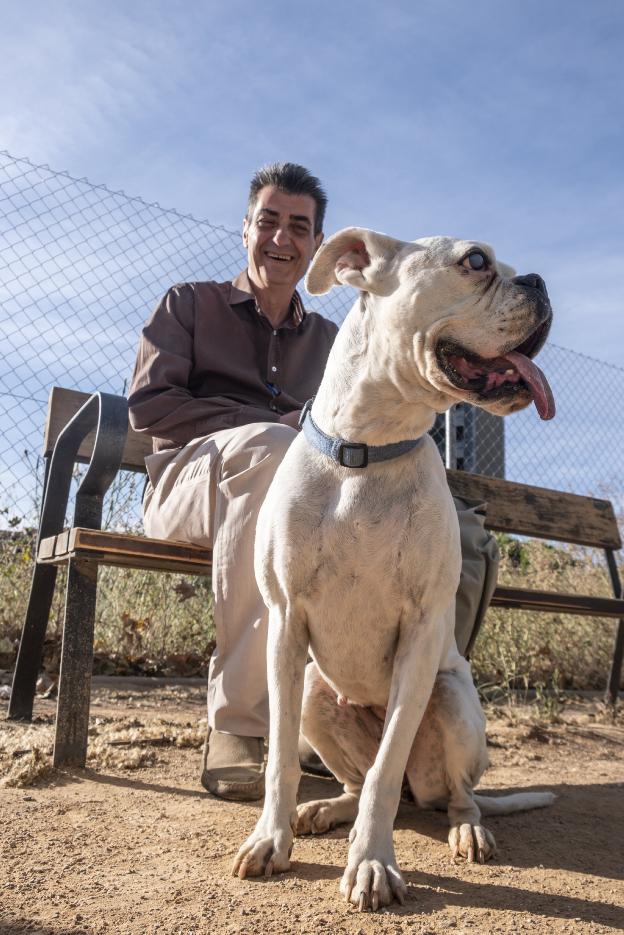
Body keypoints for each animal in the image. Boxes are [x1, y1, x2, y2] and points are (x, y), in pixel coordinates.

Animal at [232, 230, 552, 912]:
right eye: (476, 261)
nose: (538, 281)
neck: (369, 451)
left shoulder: (423, 633)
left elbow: (386, 766)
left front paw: (373, 863)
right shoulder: (284, 626)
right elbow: (281, 760)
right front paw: (270, 838)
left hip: (452, 701)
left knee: (447, 794)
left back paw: (466, 830)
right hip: (316, 692)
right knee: (355, 783)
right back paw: (326, 809)